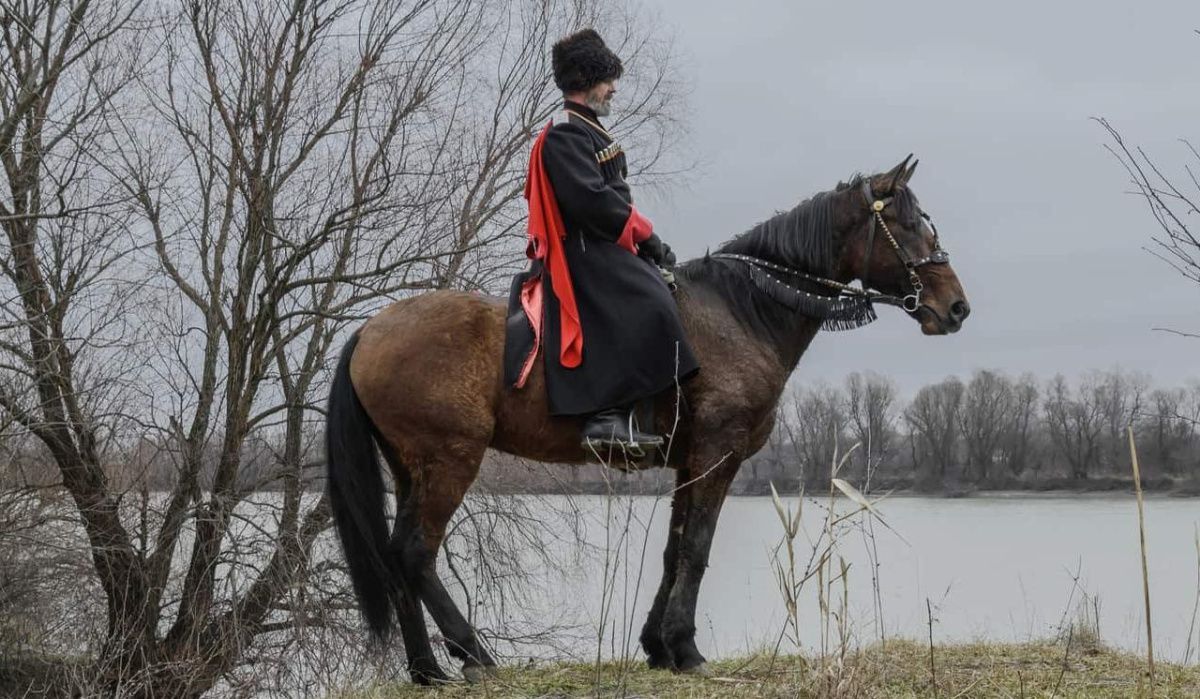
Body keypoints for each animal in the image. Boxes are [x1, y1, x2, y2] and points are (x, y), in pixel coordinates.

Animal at [326, 157, 964, 686]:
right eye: (908, 224)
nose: (956, 307)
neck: (740, 311)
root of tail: (371, 329)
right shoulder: (718, 454)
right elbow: (697, 549)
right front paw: (685, 648)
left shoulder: (691, 461)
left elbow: (674, 547)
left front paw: (659, 645)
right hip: (451, 459)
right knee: (415, 552)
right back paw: (473, 654)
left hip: (412, 467)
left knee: (395, 554)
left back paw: (427, 669)